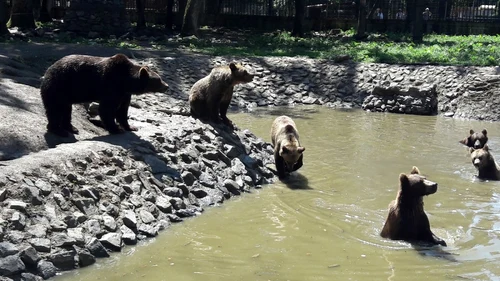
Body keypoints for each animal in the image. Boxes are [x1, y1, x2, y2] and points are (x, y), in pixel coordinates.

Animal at [39, 53, 168, 136]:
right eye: (159, 80)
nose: (166, 86)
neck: (125, 81)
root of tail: (47, 71)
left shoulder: (124, 93)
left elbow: (123, 110)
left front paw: (131, 127)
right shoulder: (110, 85)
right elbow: (107, 108)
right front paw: (116, 129)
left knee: (66, 110)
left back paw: (71, 128)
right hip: (58, 87)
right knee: (55, 109)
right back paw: (59, 130)